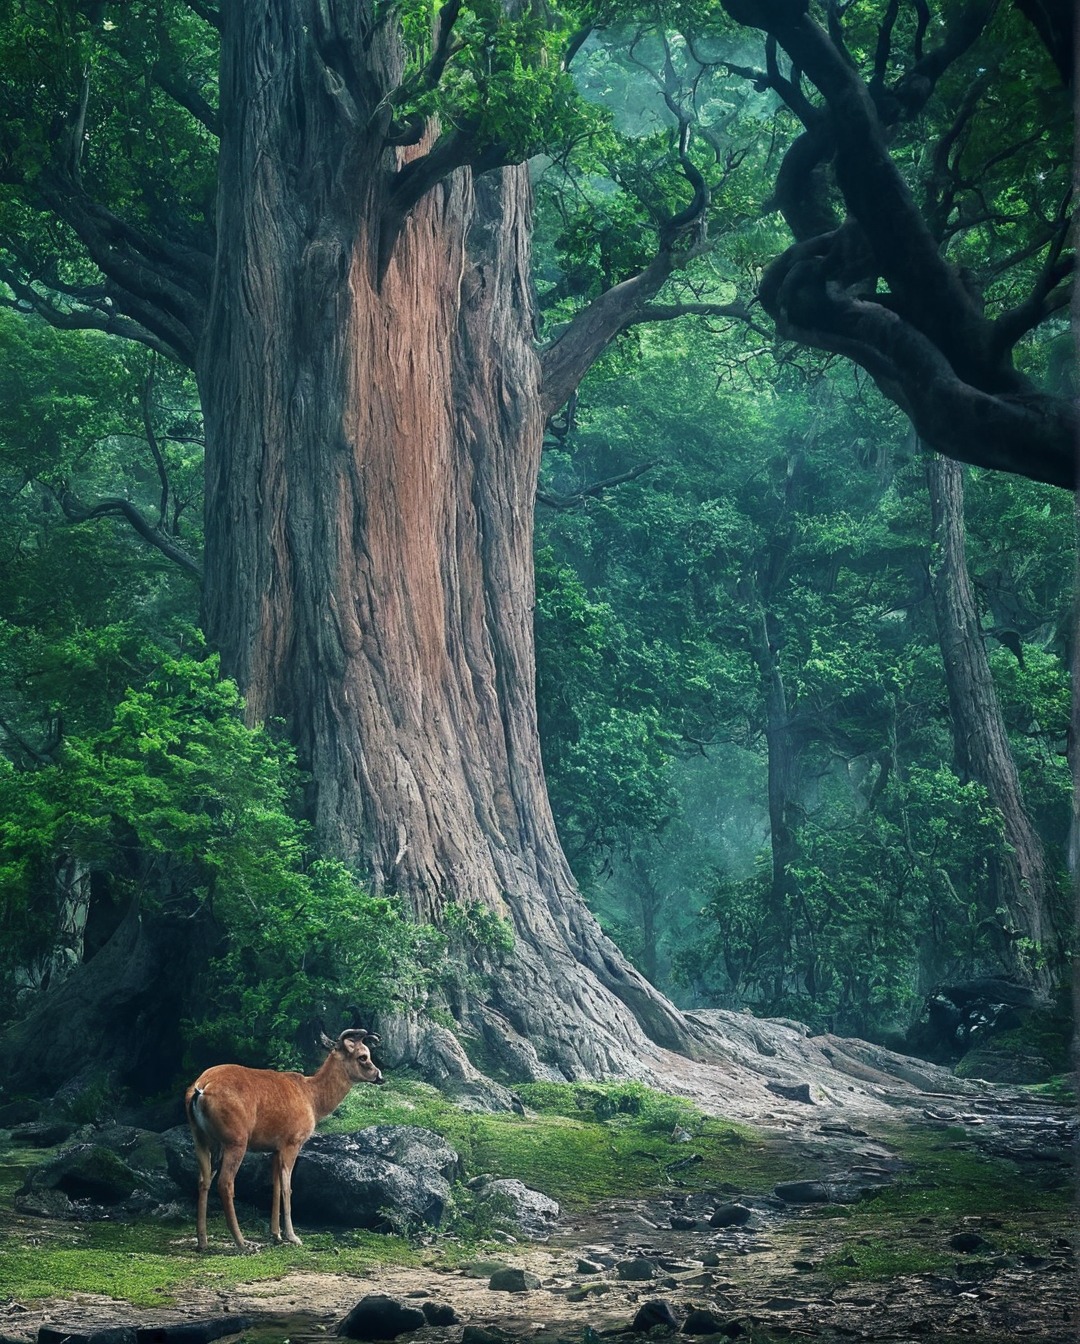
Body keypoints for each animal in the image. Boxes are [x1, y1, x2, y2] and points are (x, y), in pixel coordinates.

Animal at [185, 1026, 384, 1247]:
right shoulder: (293, 1141)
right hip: (235, 1139)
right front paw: (292, 1236)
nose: (380, 1076)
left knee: (203, 1179)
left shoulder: (275, 1148)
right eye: (363, 1056)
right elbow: (287, 1188)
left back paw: (202, 1242)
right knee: (225, 1183)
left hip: (201, 1136)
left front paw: (276, 1234)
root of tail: (201, 1088)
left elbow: (275, 1185)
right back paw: (242, 1242)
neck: (313, 1099)